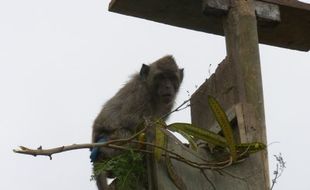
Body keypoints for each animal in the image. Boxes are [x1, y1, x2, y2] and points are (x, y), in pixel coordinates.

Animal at [91, 54, 184, 189]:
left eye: (172, 78)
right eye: (161, 77)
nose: (167, 86)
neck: (153, 93)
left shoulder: (168, 104)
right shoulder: (140, 94)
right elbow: (129, 119)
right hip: (110, 141)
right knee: (125, 133)